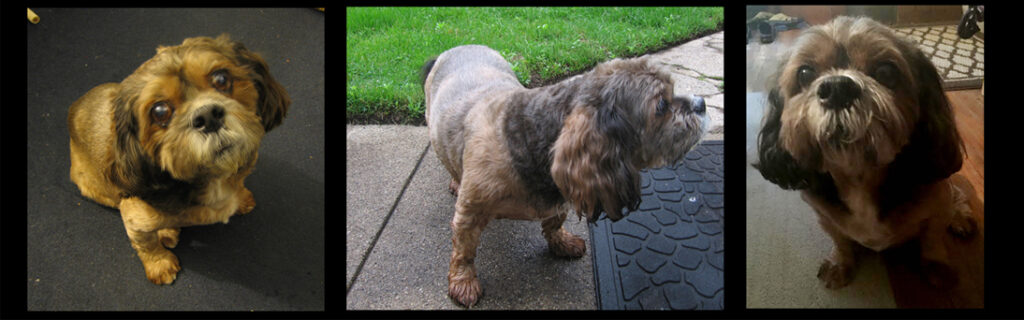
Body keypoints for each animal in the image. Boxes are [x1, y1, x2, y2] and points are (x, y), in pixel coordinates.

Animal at [68, 34, 290, 285]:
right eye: (160, 111)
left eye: (221, 78)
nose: (207, 116)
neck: (211, 179)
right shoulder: (134, 216)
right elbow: (146, 244)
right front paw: (160, 264)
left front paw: (241, 198)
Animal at [419, 45, 708, 307]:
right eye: (661, 105)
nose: (702, 103)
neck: (528, 138)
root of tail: (456, 48)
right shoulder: (469, 212)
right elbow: (464, 250)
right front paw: (464, 280)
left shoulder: (561, 199)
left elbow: (555, 221)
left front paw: (560, 241)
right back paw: (455, 179)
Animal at [757, 16, 978, 289]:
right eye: (805, 73)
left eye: (886, 72)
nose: (837, 87)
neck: (858, 174)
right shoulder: (824, 216)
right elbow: (840, 240)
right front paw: (840, 263)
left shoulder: (937, 205)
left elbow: (932, 241)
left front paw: (937, 266)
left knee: (957, 195)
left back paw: (960, 218)